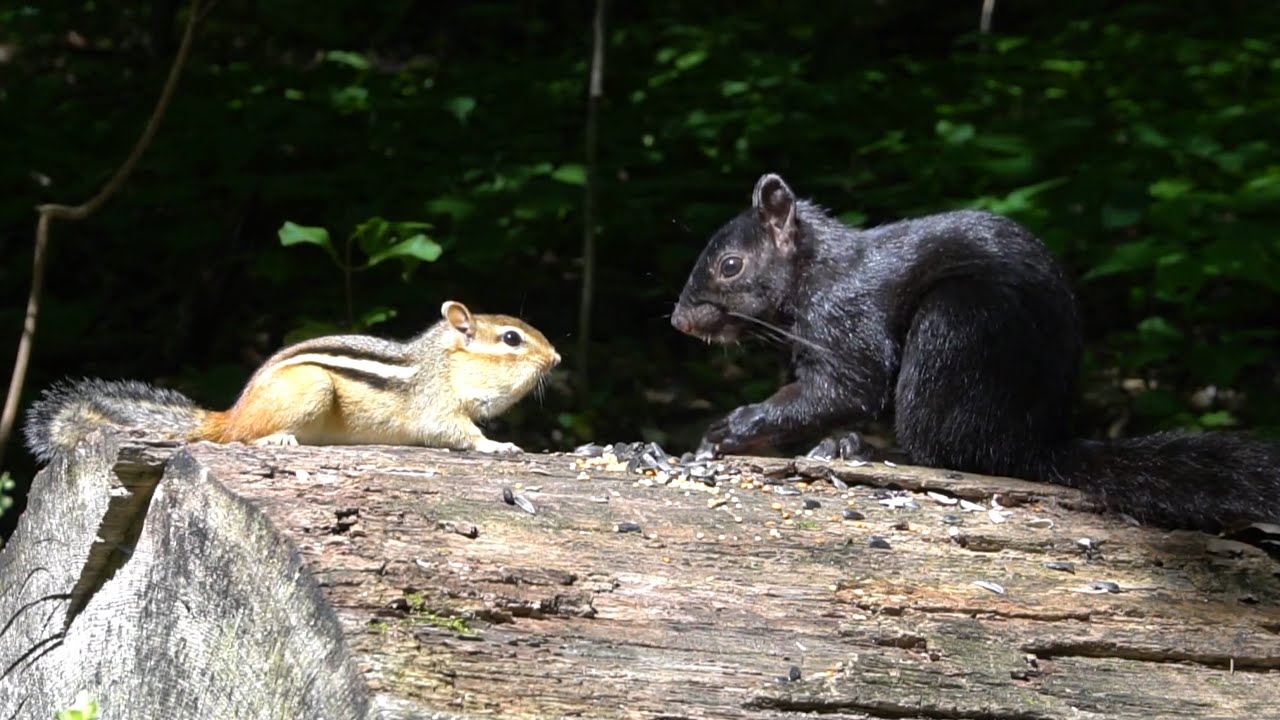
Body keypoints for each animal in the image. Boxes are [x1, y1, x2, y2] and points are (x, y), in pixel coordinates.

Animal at [24, 300, 560, 461]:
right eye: (512, 338)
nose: (555, 357)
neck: (442, 362)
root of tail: (228, 414)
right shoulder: (435, 404)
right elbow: (456, 431)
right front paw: (498, 445)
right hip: (310, 390)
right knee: (241, 438)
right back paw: (276, 438)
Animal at [672, 172, 1280, 533]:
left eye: (730, 265)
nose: (680, 320)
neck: (814, 271)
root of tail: (1036, 442)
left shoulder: (844, 317)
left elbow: (848, 386)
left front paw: (734, 427)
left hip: (955, 330)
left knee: (947, 451)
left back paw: (863, 450)